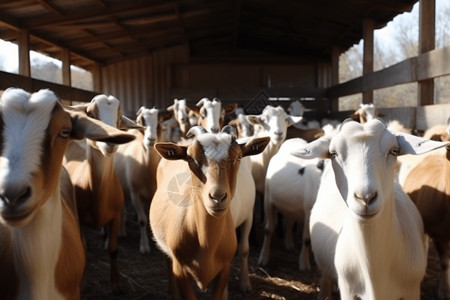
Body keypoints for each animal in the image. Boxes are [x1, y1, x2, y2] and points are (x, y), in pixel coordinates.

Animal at [63, 95, 137, 294]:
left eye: (119, 118)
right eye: (90, 114)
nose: (111, 141)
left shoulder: (116, 215)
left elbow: (113, 249)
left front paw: (116, 284)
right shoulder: (79, 218)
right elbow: (83, 249)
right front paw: (81, 284)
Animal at [149, 125, 268, 298]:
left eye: (239, 157)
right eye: (190, 158)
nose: (217, 197)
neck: (206, 244)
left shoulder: (224, 268)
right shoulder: (180, 268)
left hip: (249, 216)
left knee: (245, 249)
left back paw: (245, 284)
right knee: (166, 257)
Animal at [256, 138, 324, 270]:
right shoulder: (309, 211)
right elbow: (307, 238)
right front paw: (304, 264)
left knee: (290, 220)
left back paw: (289, 244)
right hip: (268, 199)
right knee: (269, 229)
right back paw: (263, 258)